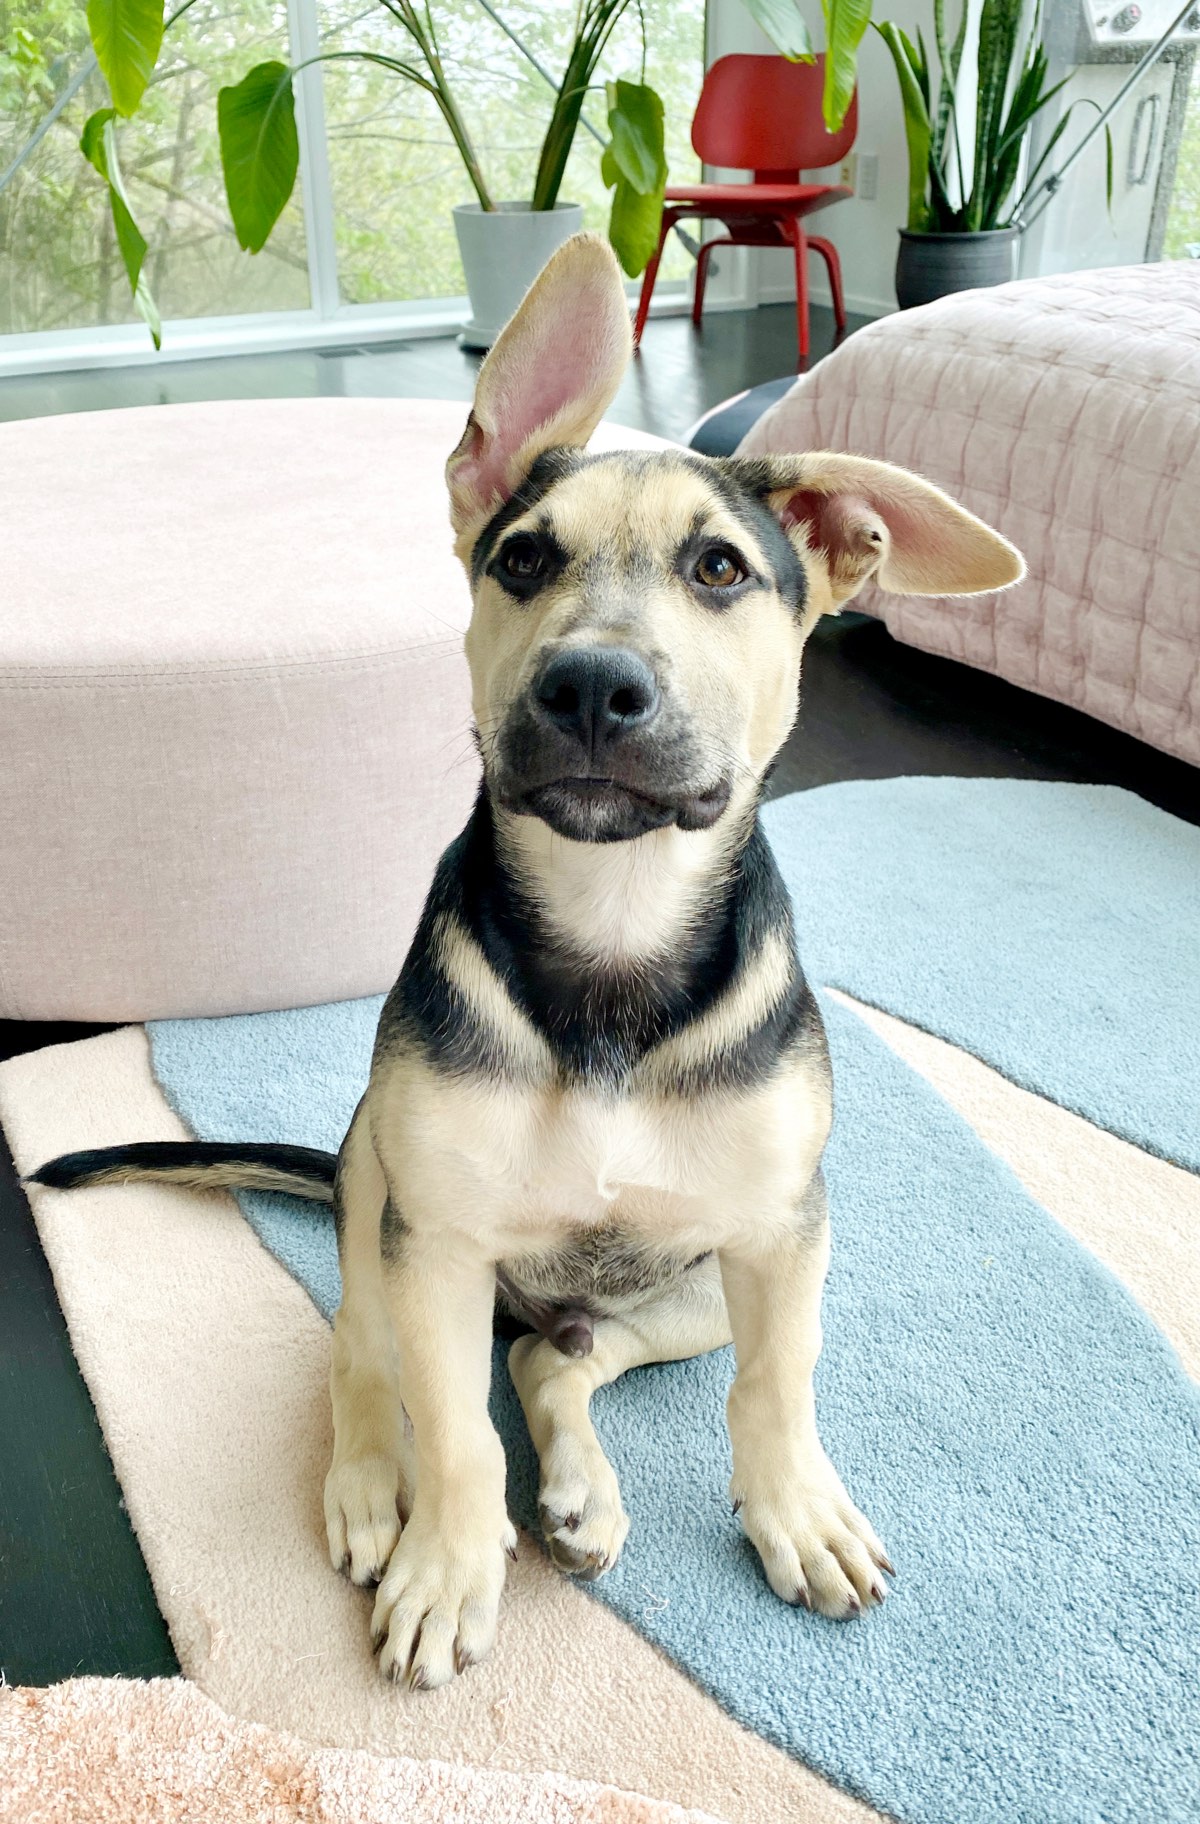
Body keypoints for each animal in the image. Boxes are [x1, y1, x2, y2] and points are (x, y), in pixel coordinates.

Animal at [28, 231, 1021, 1692]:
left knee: (561, 1359)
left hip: (690, 1283)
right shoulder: (434, 1240)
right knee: (364, 1351)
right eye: (522, 560)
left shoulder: (784, 1233)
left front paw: (795, 1511)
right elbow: (452, 1431)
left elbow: (776, 1385)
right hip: (379, 1177)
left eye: (721, 570)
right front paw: (445, 1562)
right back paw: (371, 1484)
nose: (592, 686)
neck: (614, 928)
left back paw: (579, 1490)